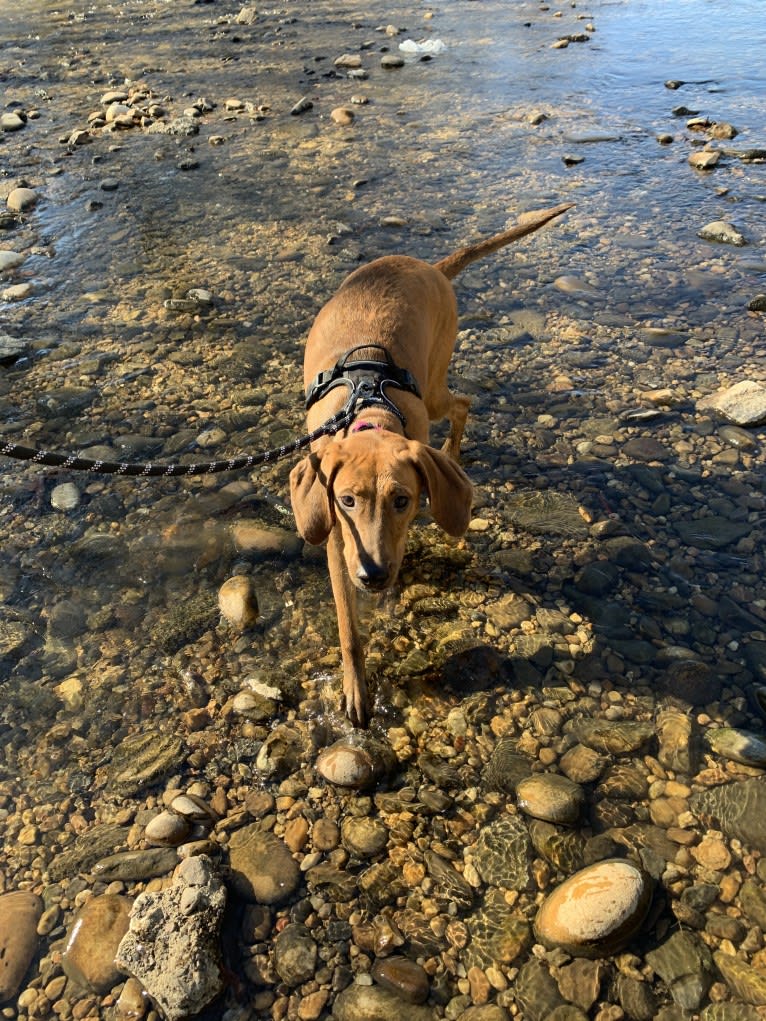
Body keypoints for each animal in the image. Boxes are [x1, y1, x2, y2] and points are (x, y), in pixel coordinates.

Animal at [290, 201, 571, 726]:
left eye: (402, 500)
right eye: (346, 501)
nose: (374, 576)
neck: (370, 413)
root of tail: (431, 267)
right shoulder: (337, 544)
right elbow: (349, 630)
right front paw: (356, 689)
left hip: (436, 384)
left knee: (462, 403)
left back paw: (455, 452)